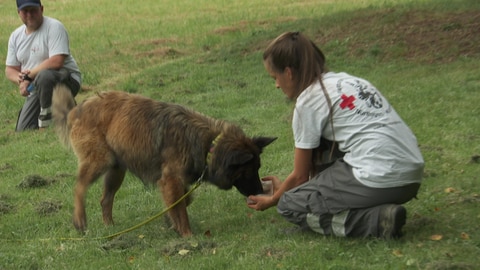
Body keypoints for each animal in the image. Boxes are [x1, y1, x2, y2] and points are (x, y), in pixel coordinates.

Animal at [51, 84, 276, 236]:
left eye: (258, 168)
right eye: (248, 171)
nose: (260, 191)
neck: (209, 145)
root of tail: (76, 110)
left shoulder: (174, 181)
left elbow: (183, 201)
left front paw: (171, 221)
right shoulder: (171, 179)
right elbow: (181, 208)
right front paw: (187, 236)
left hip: (116, 169)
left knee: (105, 199)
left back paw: (110, 227)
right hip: (99, 161)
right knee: (79, 188)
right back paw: (80, 220)